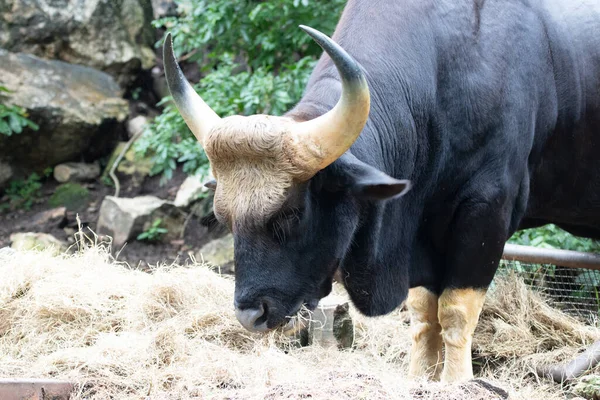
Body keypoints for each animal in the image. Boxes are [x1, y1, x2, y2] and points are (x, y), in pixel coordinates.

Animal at [166, 0, 600, 384]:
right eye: (223, 217)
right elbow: (423, 315)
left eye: (291, 213)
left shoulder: (486, 213)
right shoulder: (418, 236)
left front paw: (457, 382)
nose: (250, 315)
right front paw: (421, 377)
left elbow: (456, 313)